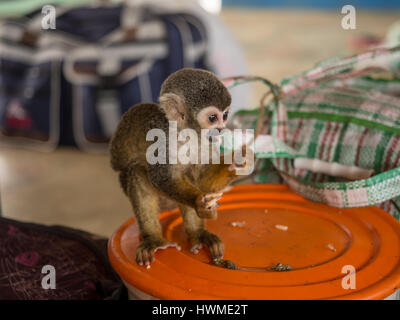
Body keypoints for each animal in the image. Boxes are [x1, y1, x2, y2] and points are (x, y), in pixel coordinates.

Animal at [109, 69, 247, 266]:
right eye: (213, 118)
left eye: (225, 115)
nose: (220, 129)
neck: (186, 134)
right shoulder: (162, 142)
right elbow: (163, 178)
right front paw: (198, 201)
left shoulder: (206, 142)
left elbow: (203, 180)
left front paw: (236, 163)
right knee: (137, 172)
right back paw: (153, 238)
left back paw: (198, 234)